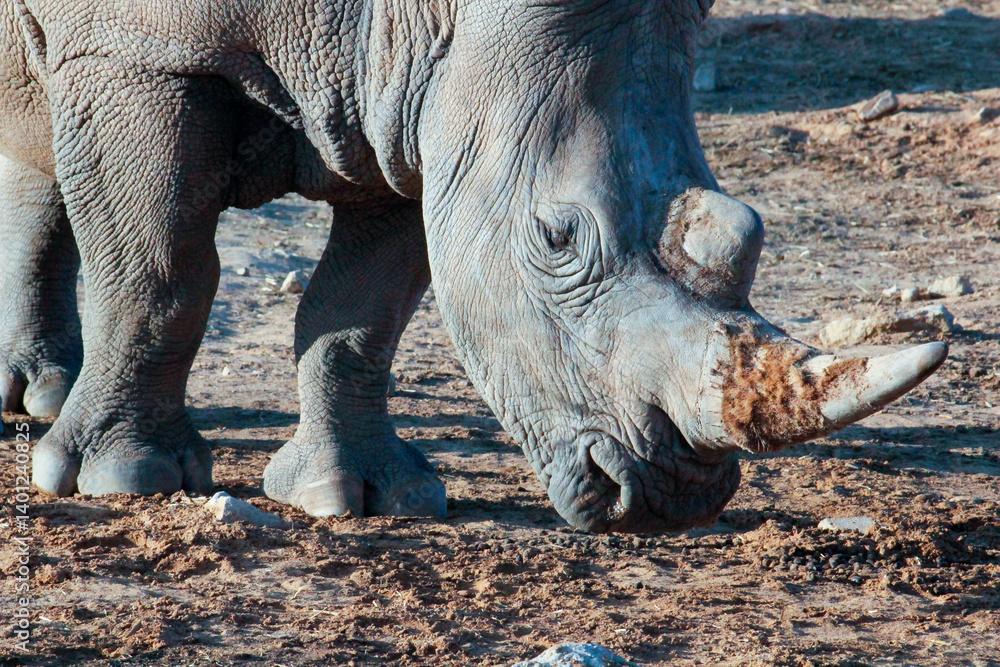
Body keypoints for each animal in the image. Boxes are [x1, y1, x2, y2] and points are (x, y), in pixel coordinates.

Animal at [0, 0, 946, 533]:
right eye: (557, 239)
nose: (671, 500)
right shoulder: (135, 53)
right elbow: (161, 276)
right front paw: (125, 479)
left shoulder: (406, 98)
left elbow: (359, 314)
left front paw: (362, 497)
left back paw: (41, 396)